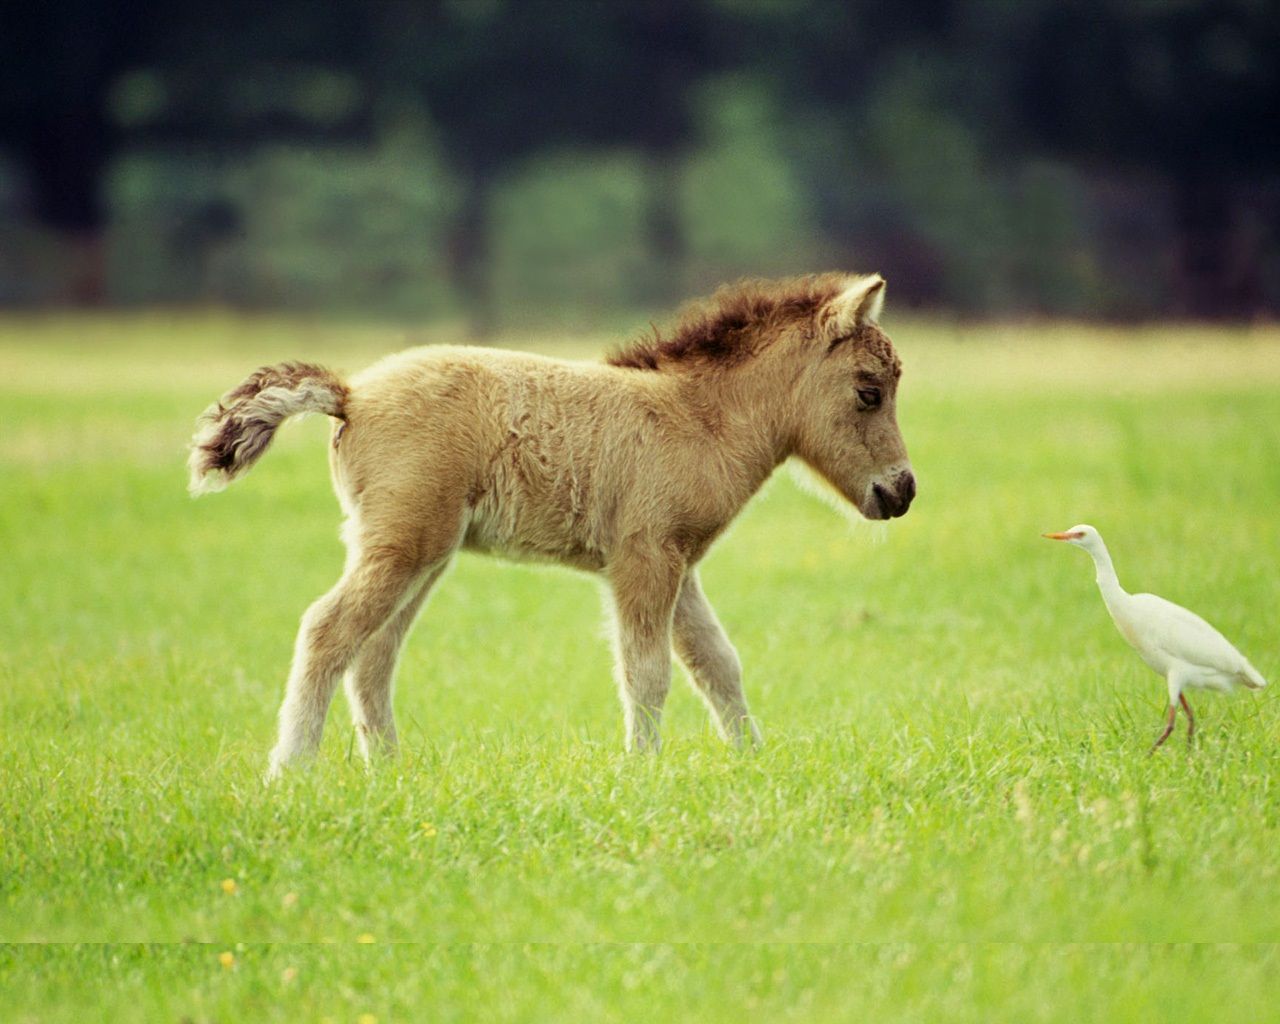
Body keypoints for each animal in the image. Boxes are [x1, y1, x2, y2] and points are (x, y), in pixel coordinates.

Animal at [186, 271, 911, 778]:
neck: (698, 419)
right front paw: (643, 772)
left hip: (422, 554)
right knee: (328, 630)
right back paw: (292, 770)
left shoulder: (678, 564)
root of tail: (351, 395)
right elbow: (647, 672)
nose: (901, 492)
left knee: (374, 654)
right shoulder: (644, 558)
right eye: (868, 390)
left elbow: (717, 664)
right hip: (401, 547)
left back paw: (388, 771)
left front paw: (751, 762)